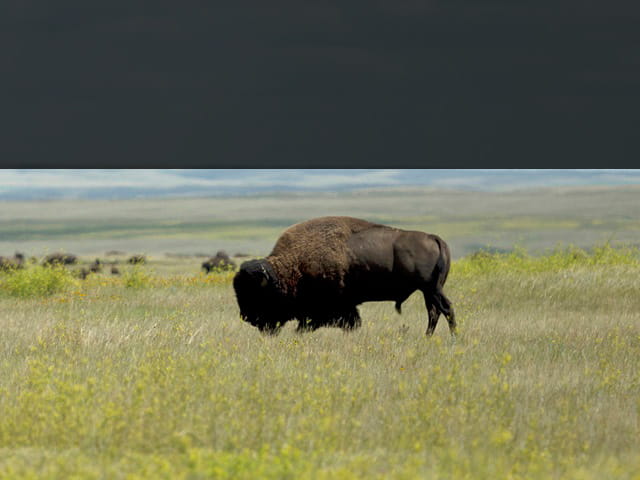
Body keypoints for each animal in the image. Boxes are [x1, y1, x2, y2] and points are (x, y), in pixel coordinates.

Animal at [233, 216, 456, 337]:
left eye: (256, 293)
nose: (246, 317)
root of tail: (434, 238)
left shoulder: (332, 307)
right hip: (428, 290)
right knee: (434, 312)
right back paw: (428, 337)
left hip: (431, 289)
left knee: (445, 309)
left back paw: (453, 337)